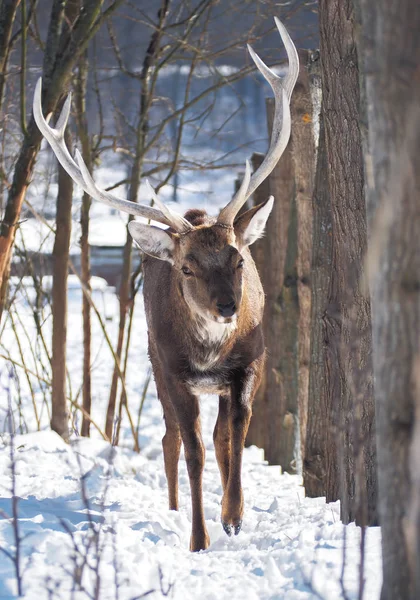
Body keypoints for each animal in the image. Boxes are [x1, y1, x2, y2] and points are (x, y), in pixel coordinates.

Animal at [34, 16, 300, 552]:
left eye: (238, 259)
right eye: (187, 267)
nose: (227, 307)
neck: (212, 353)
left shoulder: (251, 363)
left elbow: (236, 436)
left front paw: (234, 515)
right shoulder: (174, 371)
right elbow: (193, 449)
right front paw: (199, 537)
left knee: (219, 437)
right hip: (155, 363)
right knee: (171, 438)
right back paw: (177, 509)